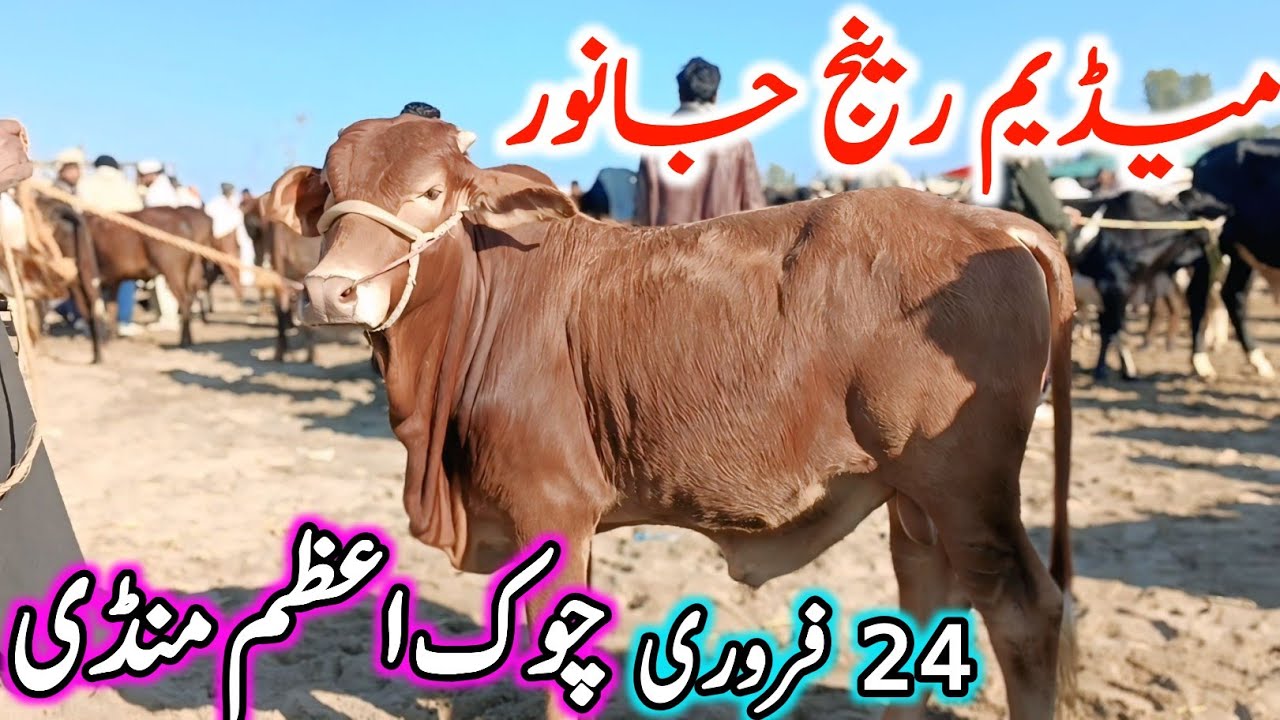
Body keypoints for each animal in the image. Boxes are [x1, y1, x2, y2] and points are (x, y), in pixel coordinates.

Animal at [265, 116, 1077, 720]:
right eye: (334, 191)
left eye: (430, 191)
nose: (329, 291)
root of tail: (995, 223)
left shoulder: (552, 506)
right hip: (914, 497)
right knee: (927, 598)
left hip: (967, 488)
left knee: (1024, 615)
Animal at [1186, 137, 1280, 380]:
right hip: (1211, 242)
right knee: (1198, 293)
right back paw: (1201, 363)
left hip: (1242, 252)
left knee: (1233, 294)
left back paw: (1258, 361)